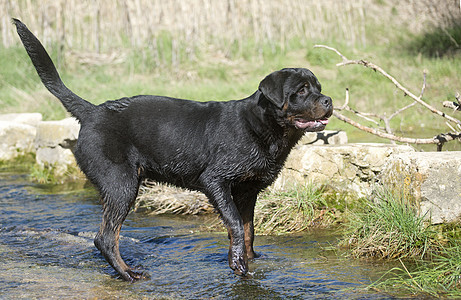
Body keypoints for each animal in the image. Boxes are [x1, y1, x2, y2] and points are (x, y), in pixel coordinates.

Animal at [13, 18, 330, 282]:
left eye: (318, 87)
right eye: (302, 90)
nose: (328, 100)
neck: (262, 126)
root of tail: (91, 112)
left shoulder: (247, 190)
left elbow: (249, 229)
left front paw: (250, 259)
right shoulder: (215, 181)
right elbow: (235, 225)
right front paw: (237, 263)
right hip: (121, 184)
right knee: (106, 238)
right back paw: (128, 273)